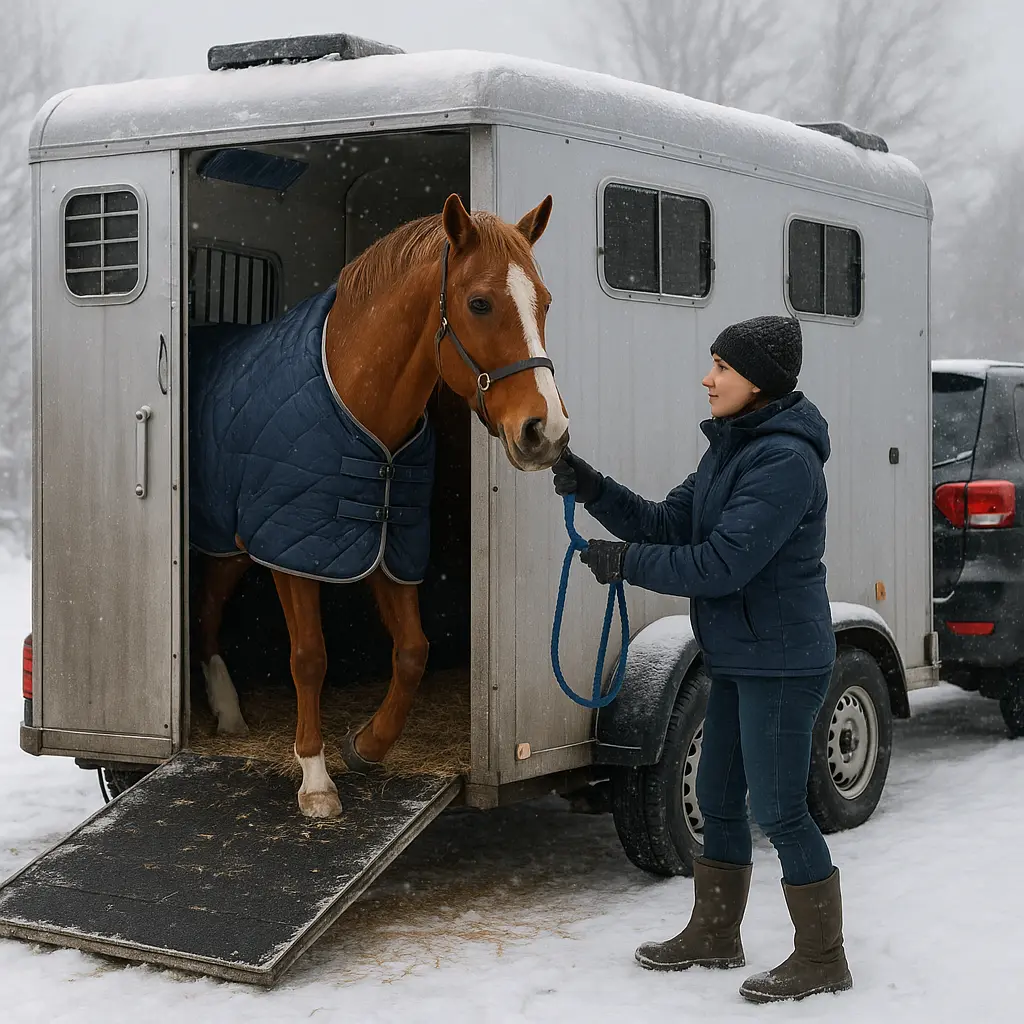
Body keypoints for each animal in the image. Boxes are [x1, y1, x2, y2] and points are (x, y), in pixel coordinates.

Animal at [190, 193, 569, 818]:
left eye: (545, 301)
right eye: (479, 302)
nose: (547, 432)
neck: (357, 402)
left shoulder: (390, 542)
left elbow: (413, 651)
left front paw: (366, 744)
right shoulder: (293, 549)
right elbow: (309, 657)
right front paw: (316, 779)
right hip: (231, 538)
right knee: (208, 609)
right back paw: (228, 710)